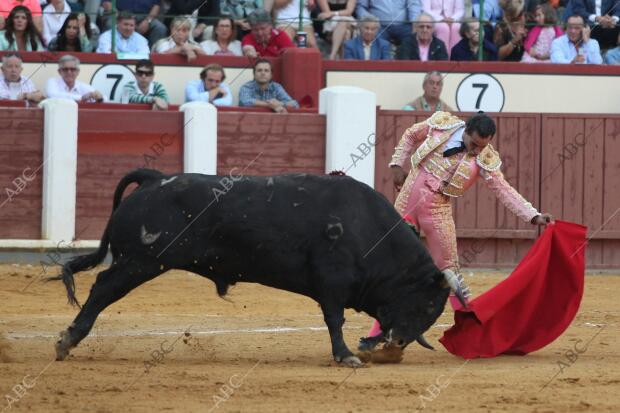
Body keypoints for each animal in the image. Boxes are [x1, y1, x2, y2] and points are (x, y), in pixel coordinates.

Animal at [49, 169, 456, 366]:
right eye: (427, 304)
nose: (398, 343)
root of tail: (155, 178)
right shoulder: (332, 282)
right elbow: (335, 320)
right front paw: (346, 356)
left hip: (140, 262)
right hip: (140, 261)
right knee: (102, 287)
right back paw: (67, 341)